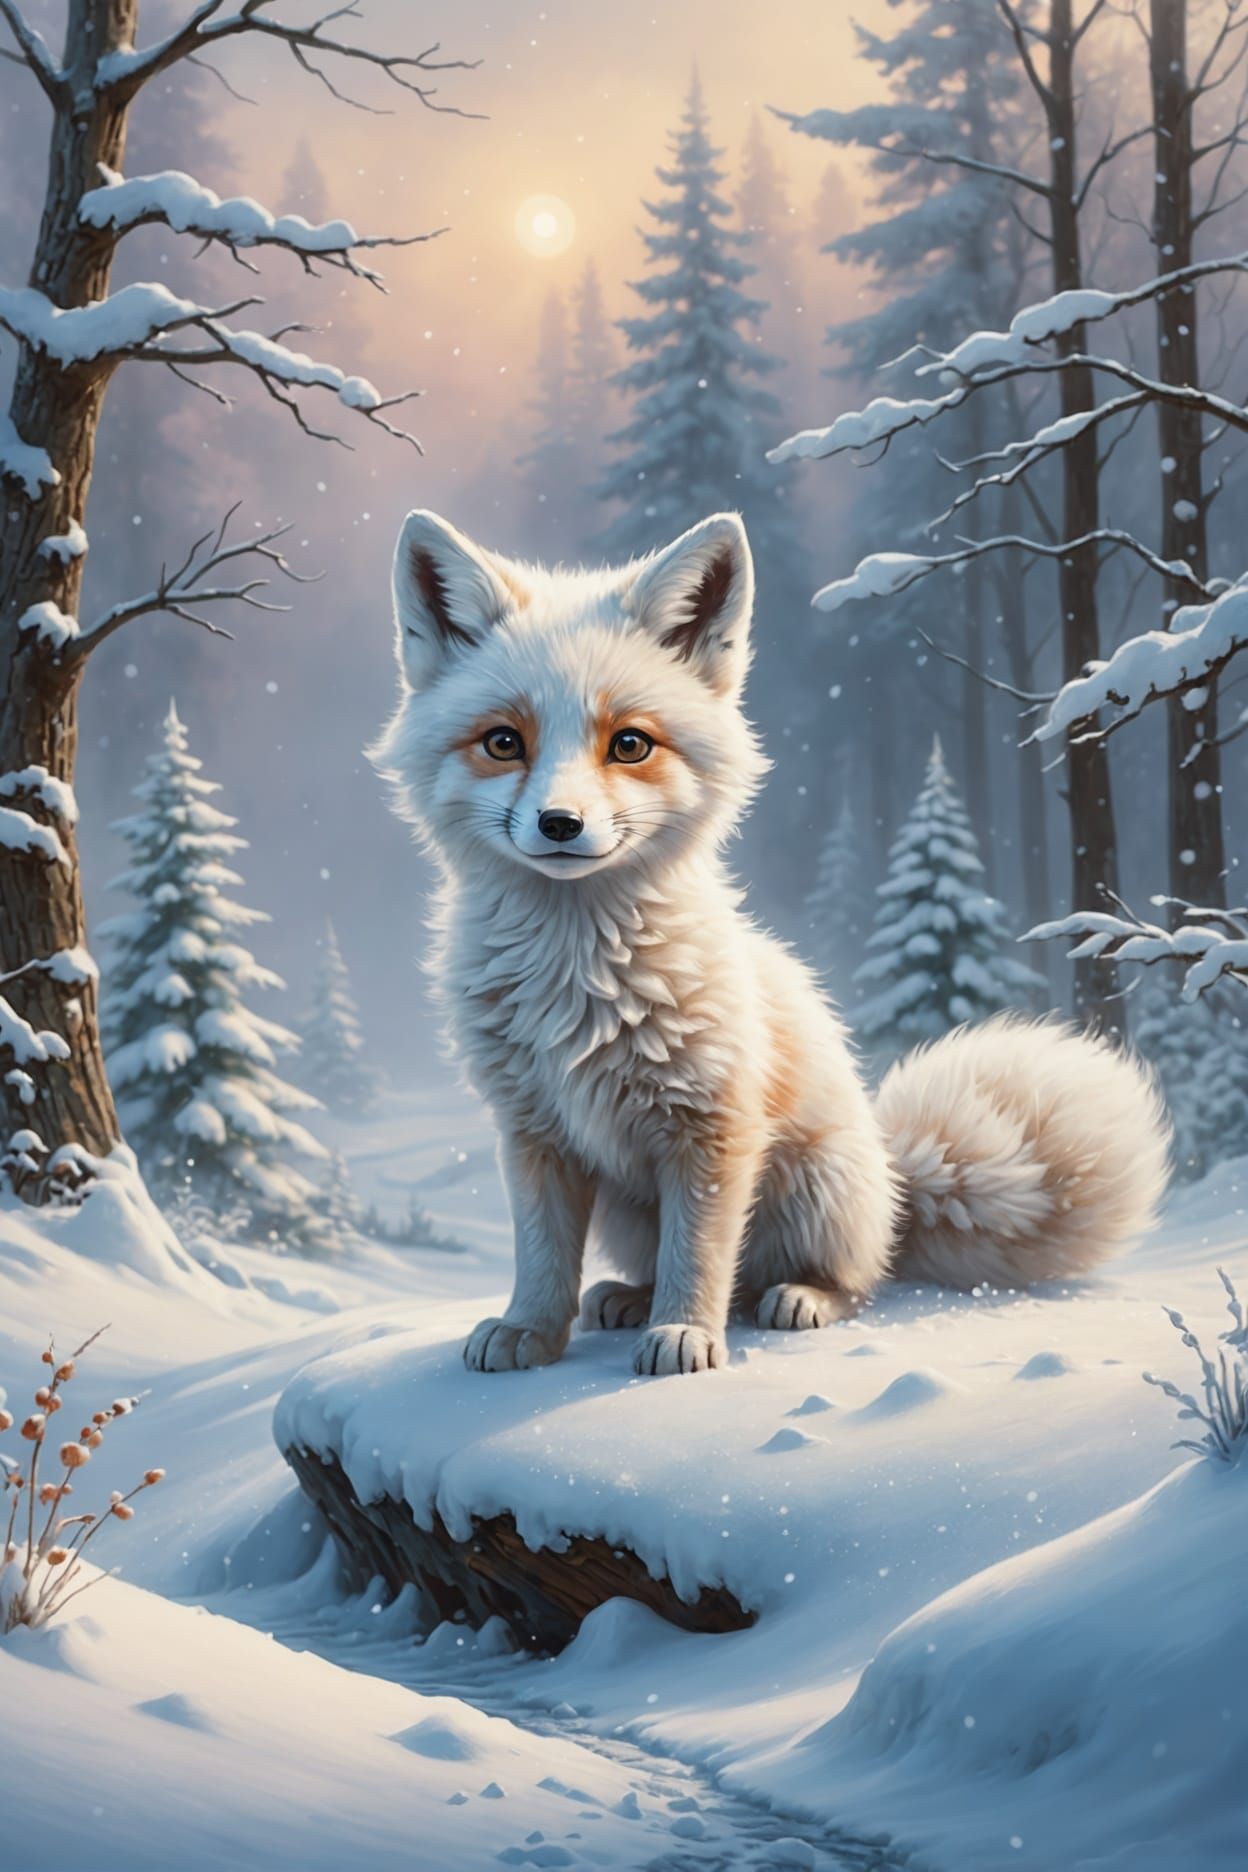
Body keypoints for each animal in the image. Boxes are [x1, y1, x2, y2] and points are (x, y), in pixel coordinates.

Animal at [373, 507, 1170, 1377]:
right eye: (503, 743)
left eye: (629, 744)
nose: (559, 825)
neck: (574, 979)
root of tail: (895, 1177)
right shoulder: (534, 1131)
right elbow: (543, 1256)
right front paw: (531, 1333)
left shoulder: (714, 1126)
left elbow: (698, 1256)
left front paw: (684, 1336)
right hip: (628, 1209)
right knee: (700, 1272)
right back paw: (626, 1299)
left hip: (814, 1189)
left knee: (839, 1280)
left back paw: (794, 1299)